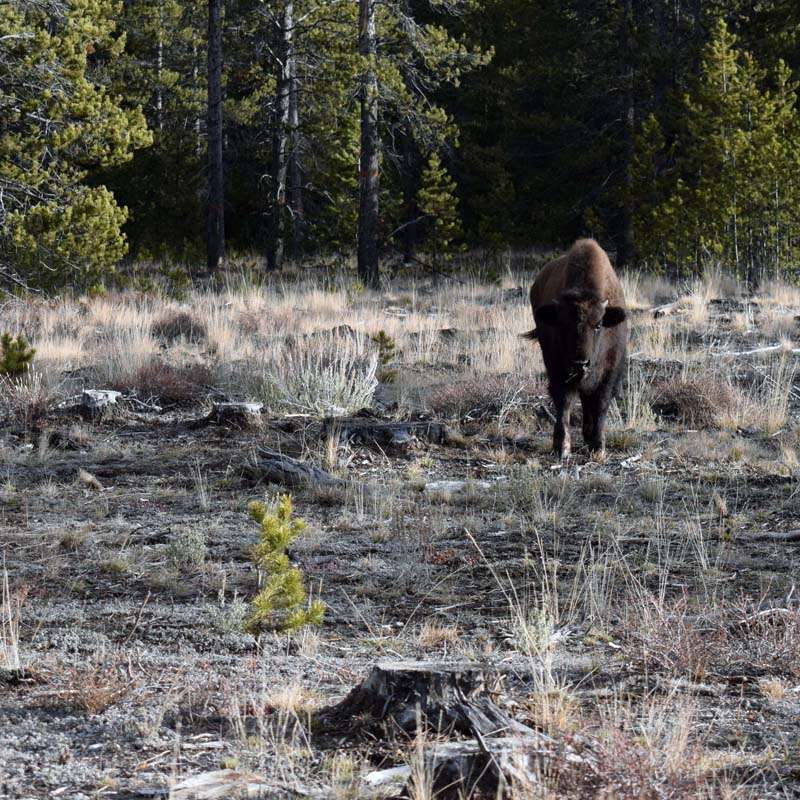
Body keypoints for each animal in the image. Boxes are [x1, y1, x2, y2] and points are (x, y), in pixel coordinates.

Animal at [522, 239, 628, 458]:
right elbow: (564, 402)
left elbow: (601, 403)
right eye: (562, 324)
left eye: (598, 324)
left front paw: (598, 446)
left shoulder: (609, 373)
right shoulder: (558, 370)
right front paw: (562, 447)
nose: (580, 363)